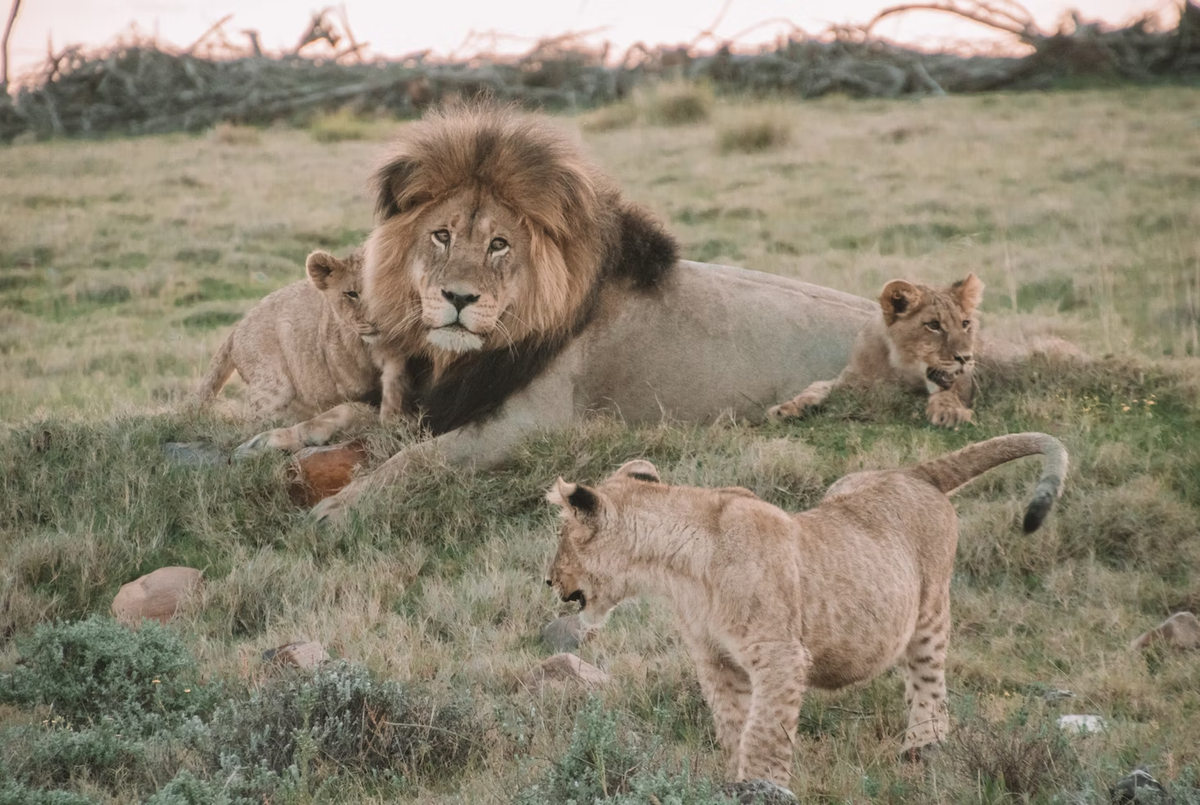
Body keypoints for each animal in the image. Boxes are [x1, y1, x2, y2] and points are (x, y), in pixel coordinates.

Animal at [238, 100, 873, 523]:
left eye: (499, 245)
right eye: (442, 235)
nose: (459, 299)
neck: (462, 357)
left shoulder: (532, 424)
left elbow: (415, 460)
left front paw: (340, 508)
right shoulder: (426, 400)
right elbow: (343, 414)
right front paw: (263, 441)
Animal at [549, 436, 1065, 791]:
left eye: (560, 538)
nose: (549, 580)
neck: (680, 570)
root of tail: (913, 473)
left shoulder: (780, 655)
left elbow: (764, 732)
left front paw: (761, 787)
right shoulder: (715, 659)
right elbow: (734, 724)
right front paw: (736, 781)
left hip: (930, 610)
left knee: (928, 682)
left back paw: (923, 750)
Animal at [768, 273, 984, 427]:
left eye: (965, 324)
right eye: (933, 325)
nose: (966, 358)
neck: (896, 368)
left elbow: (951, 392)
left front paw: (950, 412)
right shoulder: (849, 381)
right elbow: (817, 387)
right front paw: (786, 408)